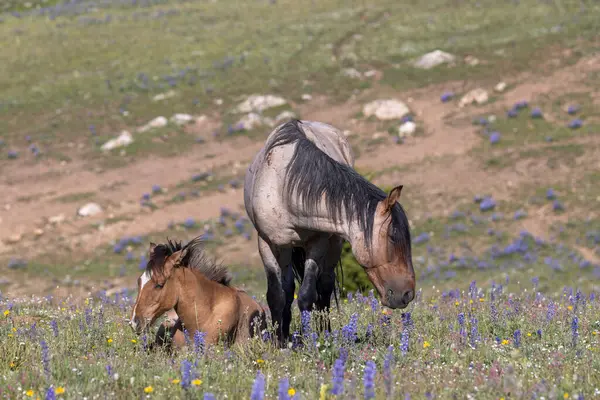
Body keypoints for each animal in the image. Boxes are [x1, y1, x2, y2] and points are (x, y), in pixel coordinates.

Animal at [241, 119, 414, 344]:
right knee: (288, 289)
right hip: (286, 249)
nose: (408, 293)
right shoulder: (268, 244)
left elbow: (307, 295)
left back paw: (324, 333)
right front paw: (280, 342)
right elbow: (276, 295)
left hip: (333, 245)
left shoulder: (318, 243)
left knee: (324, 287)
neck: (285, 188)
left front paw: (309, 339)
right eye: (393, 237)